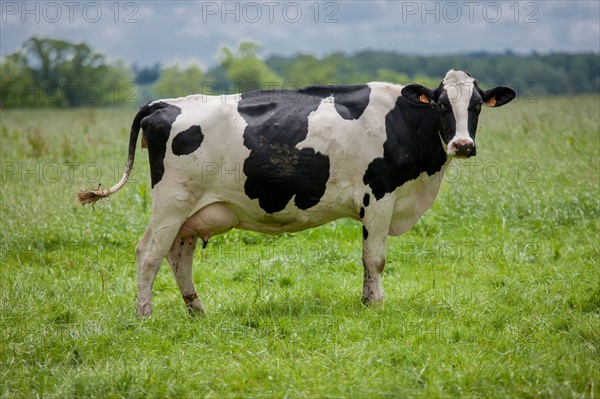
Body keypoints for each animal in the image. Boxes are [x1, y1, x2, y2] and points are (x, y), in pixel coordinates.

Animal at [76, 69, 516, 318]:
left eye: (476, 105)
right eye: (441, 104)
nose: (462, 144)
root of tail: (162, 103)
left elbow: (365, 259)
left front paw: (365, 301)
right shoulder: (379, 196)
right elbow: (375, 258)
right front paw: (376, 305)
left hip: (191, 211)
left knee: (177, 256)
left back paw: (198, 310)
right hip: (172, 201)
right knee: (149, 253)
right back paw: (144, 315)